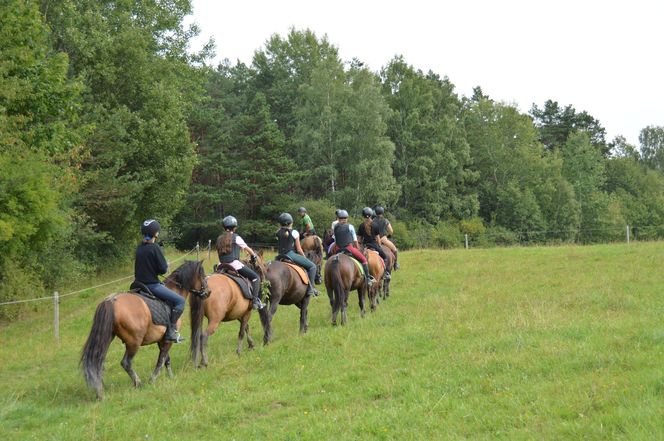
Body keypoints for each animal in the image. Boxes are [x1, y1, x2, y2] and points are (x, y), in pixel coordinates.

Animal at [81, 258, 209, 398]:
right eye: (202, 275)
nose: (208, 292)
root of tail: (112, 300)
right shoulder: (168, 340)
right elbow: (161, 360)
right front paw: (153, 379)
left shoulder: (161, 339)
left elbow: (166, 360)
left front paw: (171, 377)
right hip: (134, 342)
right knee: (126, 362)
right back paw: (138, 383)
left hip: (108, 338)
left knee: (98, 362)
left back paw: (100, 392)